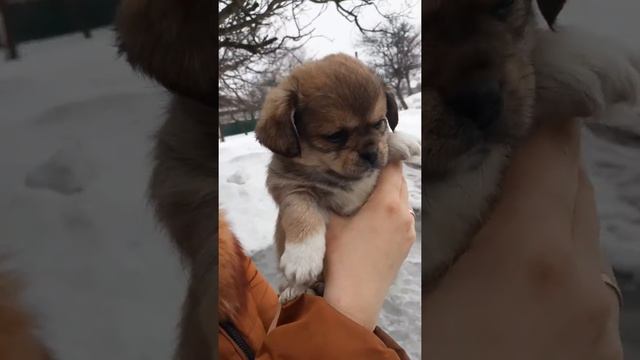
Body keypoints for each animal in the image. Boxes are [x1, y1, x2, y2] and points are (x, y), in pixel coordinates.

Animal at [252, 53, 422, 300]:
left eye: (379, 123)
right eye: (335, 136)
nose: (371, 154)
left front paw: (403, 141)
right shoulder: (289, 187)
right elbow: (301, 210)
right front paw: (302, 256)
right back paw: (294, 290)